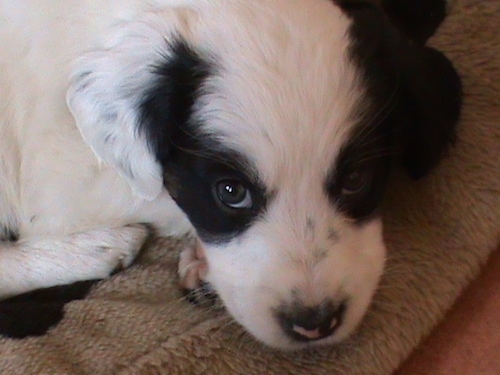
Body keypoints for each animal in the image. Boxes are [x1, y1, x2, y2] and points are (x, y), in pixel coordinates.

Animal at [0, 0, 460, 352]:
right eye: (231, 192)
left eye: (357, 179)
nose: (314, 324)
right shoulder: (58, 187)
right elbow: (161, 193)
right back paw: (96, 248)